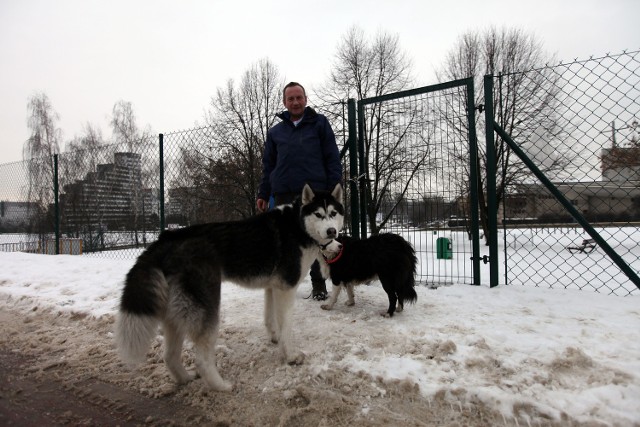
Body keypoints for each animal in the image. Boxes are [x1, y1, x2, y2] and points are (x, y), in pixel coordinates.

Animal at [115, 184, 344, 392]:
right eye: (318, 214)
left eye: (333, 213)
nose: (332, 231)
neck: (297, 225)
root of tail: (165, 239)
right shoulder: (286, 289)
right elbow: (286, 326)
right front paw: (290, 356)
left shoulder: (272, 288)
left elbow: (270, 319)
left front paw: (274, 337)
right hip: (207, 307)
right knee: (202, 358)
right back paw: (221, 386)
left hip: (175, 313)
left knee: (169, 356)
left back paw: (186, 379)